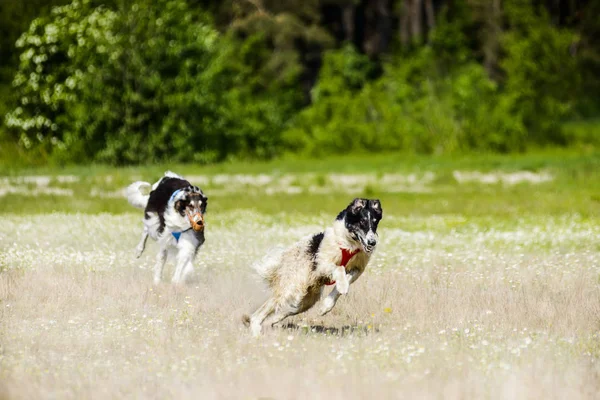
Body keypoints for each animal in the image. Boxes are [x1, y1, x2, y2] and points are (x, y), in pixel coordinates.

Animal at [241, 198, 382, 336]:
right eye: (362, 222)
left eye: (375, 223)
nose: (372, 242)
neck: (350, 243)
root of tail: (283, 258)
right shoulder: (322, 263)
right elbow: (339, 268)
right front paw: (342, 287)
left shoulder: (358, 269)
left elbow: (343, 283)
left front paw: (326, 306)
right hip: (291, 289)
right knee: (259, 313)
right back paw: (256, 333)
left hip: (303, 301)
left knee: (280, 312)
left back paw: (267, 325)